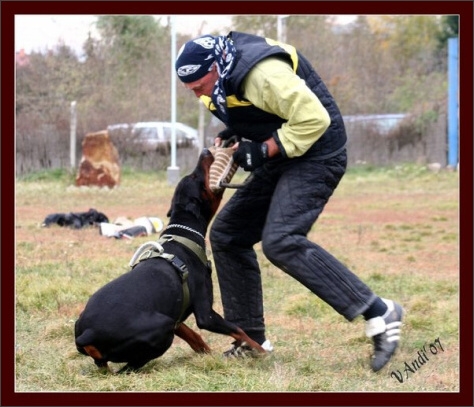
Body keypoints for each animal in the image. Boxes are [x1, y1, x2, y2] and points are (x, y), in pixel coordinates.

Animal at [76, 150, 264, 372]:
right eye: (196, 177)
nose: (206, 151)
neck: (183, 234)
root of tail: (87, 334)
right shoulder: (206, 314)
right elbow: (239, 331)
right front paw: (259, 350)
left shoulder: (176, 316)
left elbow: (194, 336)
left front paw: (209, 354)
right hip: (161, 328)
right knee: (129, 367)